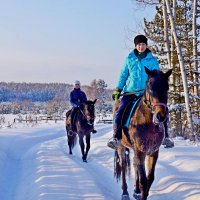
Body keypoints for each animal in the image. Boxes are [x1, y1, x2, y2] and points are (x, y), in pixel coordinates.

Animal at [114, 67, 172, 200]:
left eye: (167, 87)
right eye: (150, 87)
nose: (161, 116)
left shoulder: (153, 153)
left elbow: (149, 179)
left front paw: (140, 192)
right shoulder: (140, 151)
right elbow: (144, 181)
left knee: (135, 165)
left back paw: (136, 191)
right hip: (121, 146)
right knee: (123, 166)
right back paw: (125, 193)